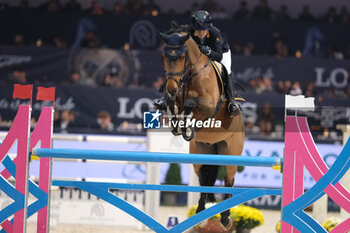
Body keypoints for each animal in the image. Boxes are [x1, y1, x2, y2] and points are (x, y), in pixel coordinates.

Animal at [158, 24, 243, 229]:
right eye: (164, 56)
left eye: (182, 56)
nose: (171, 88)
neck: (191, 75)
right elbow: (172, 105)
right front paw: (178, 125)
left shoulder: (208, 105)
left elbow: (190, 104)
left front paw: (186, 125)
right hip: (201, 152)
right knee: (204, 178)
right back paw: (201, 215)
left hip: (231, 153)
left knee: (229, 179)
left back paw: (225, 218)